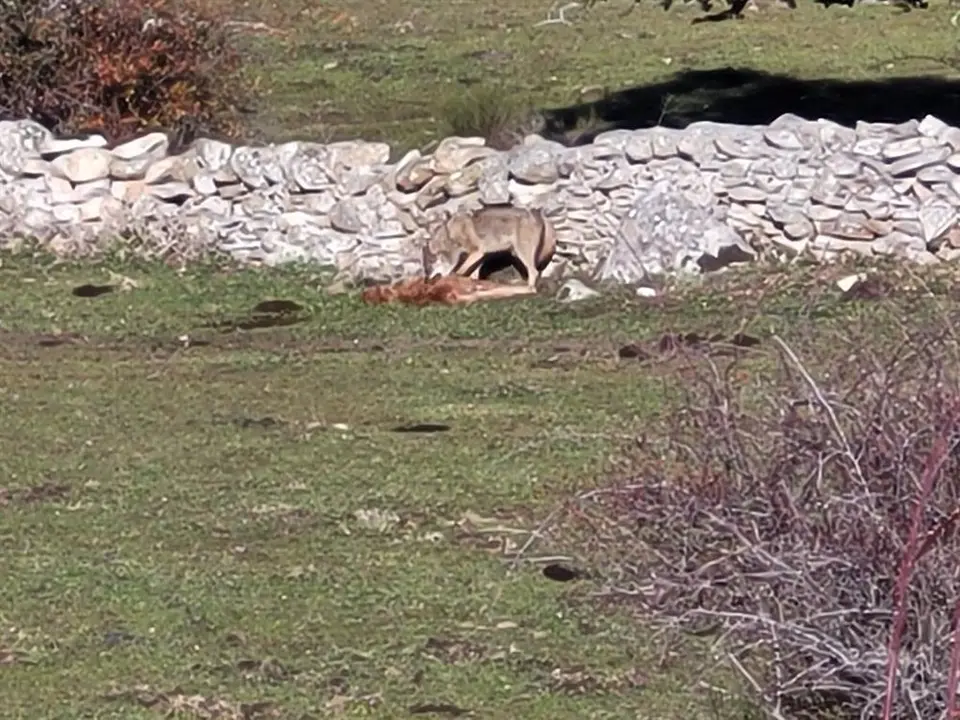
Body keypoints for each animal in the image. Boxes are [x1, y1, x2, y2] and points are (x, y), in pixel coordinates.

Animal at [421, 206, 557, 290]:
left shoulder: (477, 252)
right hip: (517, 254)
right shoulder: (480, 255)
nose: (426, 282)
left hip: (521, 253)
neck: (450, 235)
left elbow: (459, 271)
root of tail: (538, 214)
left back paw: (528, 289)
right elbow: (474, 275)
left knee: (534, 271)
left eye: (429, 268)